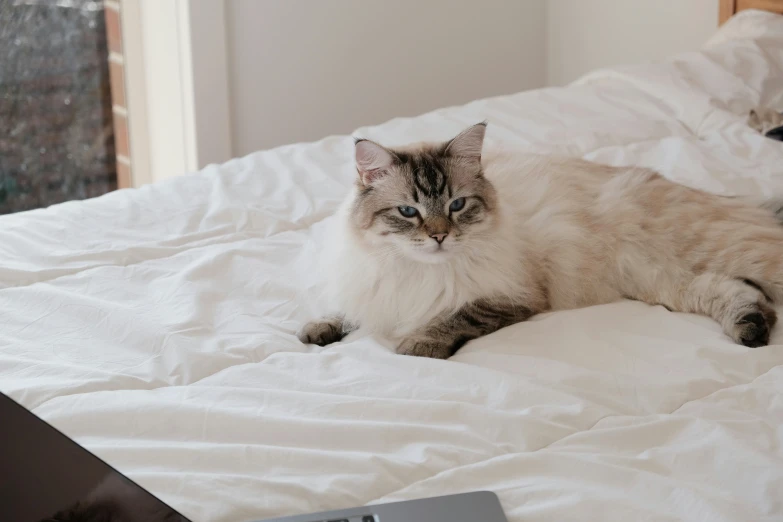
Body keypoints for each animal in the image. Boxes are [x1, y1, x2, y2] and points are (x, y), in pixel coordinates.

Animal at [300, 122, 783, 358]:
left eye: (457, 205)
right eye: (408, 212)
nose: (439, 236)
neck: (416, 271)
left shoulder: (512, 298)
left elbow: (452, 317)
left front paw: (417, 345)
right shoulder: (373, 287)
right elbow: (343, 310)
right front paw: (318, 331)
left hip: (724, 255)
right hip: (664, 282)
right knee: (738, 293)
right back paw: (752, 331)